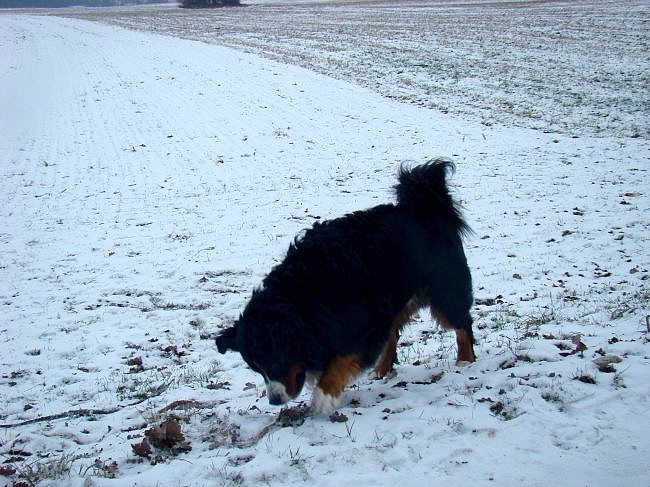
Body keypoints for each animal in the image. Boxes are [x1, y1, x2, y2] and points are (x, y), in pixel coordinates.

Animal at [215, 161, 474, 416]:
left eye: (276, 362)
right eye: (256, 369)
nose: (275, 401)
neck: (304, 297)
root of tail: (424, 207)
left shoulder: (365, 324)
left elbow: (340, 360)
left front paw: (323, 397)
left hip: (444, 290)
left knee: (462, 323)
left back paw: (465, 359)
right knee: (393, 334)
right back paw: (381, 369)